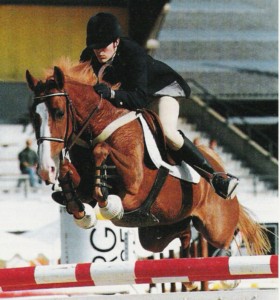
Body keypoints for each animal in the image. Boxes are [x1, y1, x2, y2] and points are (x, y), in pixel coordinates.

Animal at [25, 58, 270, 260]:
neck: (101, 123)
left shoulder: (134, 185)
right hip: (156, 235)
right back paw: (186, 241)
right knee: (177, 234)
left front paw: (108, 200)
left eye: (59, 113)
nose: (45, 169)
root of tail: (217, 162)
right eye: (34, 117)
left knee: (229, 235)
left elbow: (102, 155)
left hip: (217, 227)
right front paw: (77, 204)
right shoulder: (84, 187)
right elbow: (73, 179)